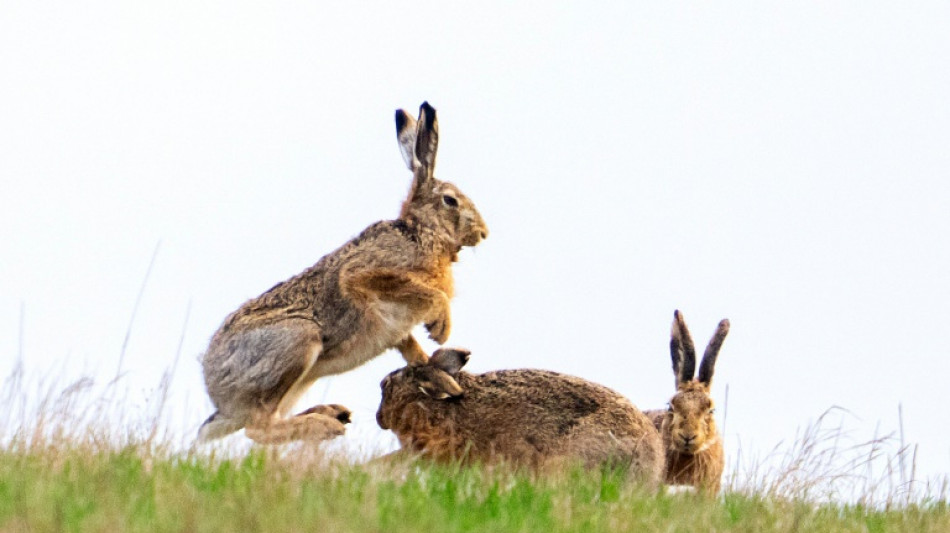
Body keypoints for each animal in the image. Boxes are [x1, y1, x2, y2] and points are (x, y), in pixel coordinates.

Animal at [198, 102, 489, 444]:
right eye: (450, 200)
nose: (483, 233)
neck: (422, 231)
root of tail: (216, 393)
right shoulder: (365, 275)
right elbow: (429, 294)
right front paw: (441, 328)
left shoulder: (397, 329)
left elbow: (413, 352)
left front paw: (442, 377)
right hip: (298, 340)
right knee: (258, 428)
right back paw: (325, 425)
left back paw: (330, 413)